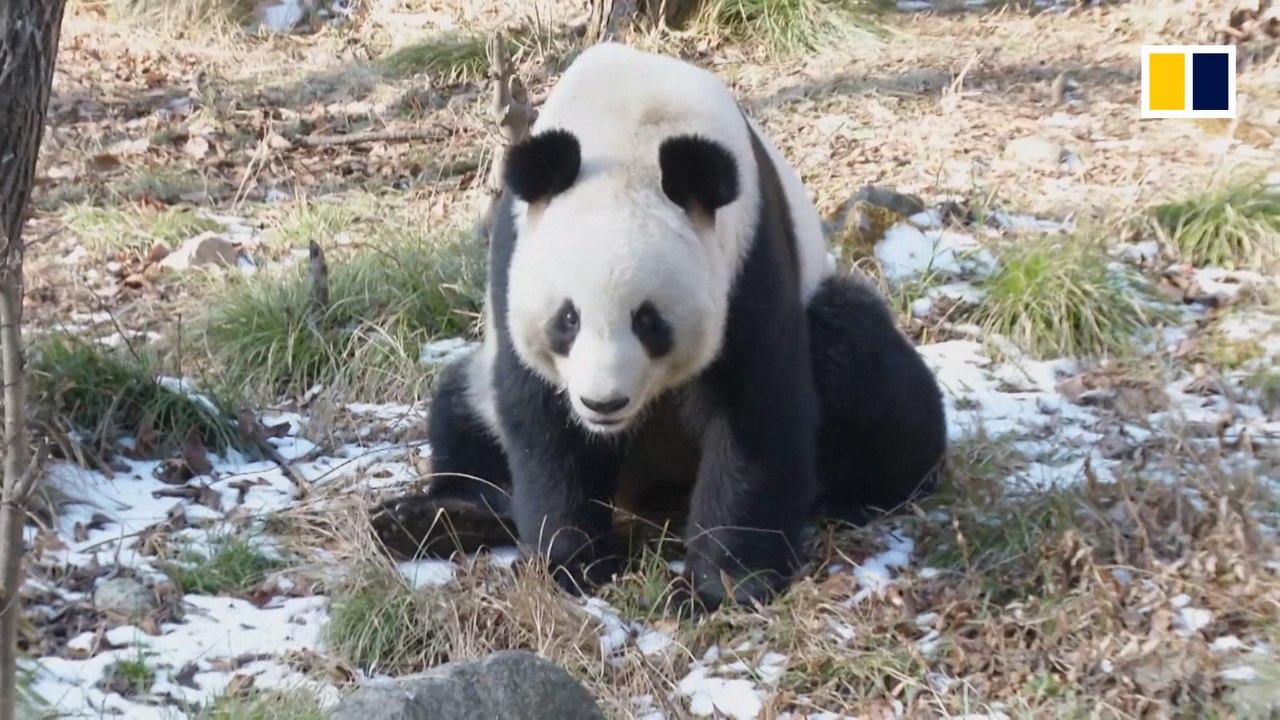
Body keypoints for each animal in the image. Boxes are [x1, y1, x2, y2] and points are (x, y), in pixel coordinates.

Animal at [393, 42, 947, 614]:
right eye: (568, 318)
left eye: (648, 321)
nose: (603, 403)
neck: (630, 129)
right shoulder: (514, 262)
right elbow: (541, 422)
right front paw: (572, 563)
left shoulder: (747, 259)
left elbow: (754, 415)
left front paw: (724, 582)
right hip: (479, 389)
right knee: (461, 412)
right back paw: (435, 519)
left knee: (863, 362)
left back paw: (857, 493)